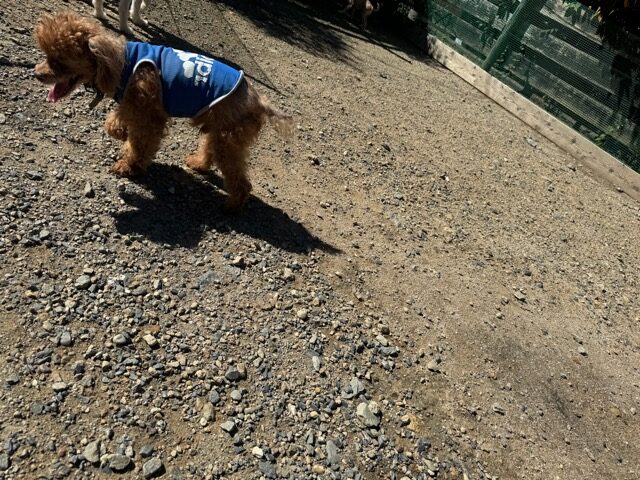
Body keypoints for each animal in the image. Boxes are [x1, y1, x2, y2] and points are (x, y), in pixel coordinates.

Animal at [34, 12, 294, 212]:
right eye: (46, 56)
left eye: (59, 61)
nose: (36, 74)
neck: (121, 64)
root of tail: (260, 102)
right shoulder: (130, 103)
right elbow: (116, 123)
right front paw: (121, 134)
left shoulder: (148, 115)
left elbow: (141, 144)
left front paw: (129, 166)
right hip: (220, 130)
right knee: (210, 149)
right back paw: (198, 164)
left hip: (229, 138)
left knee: (239, 180)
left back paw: (232, 206)